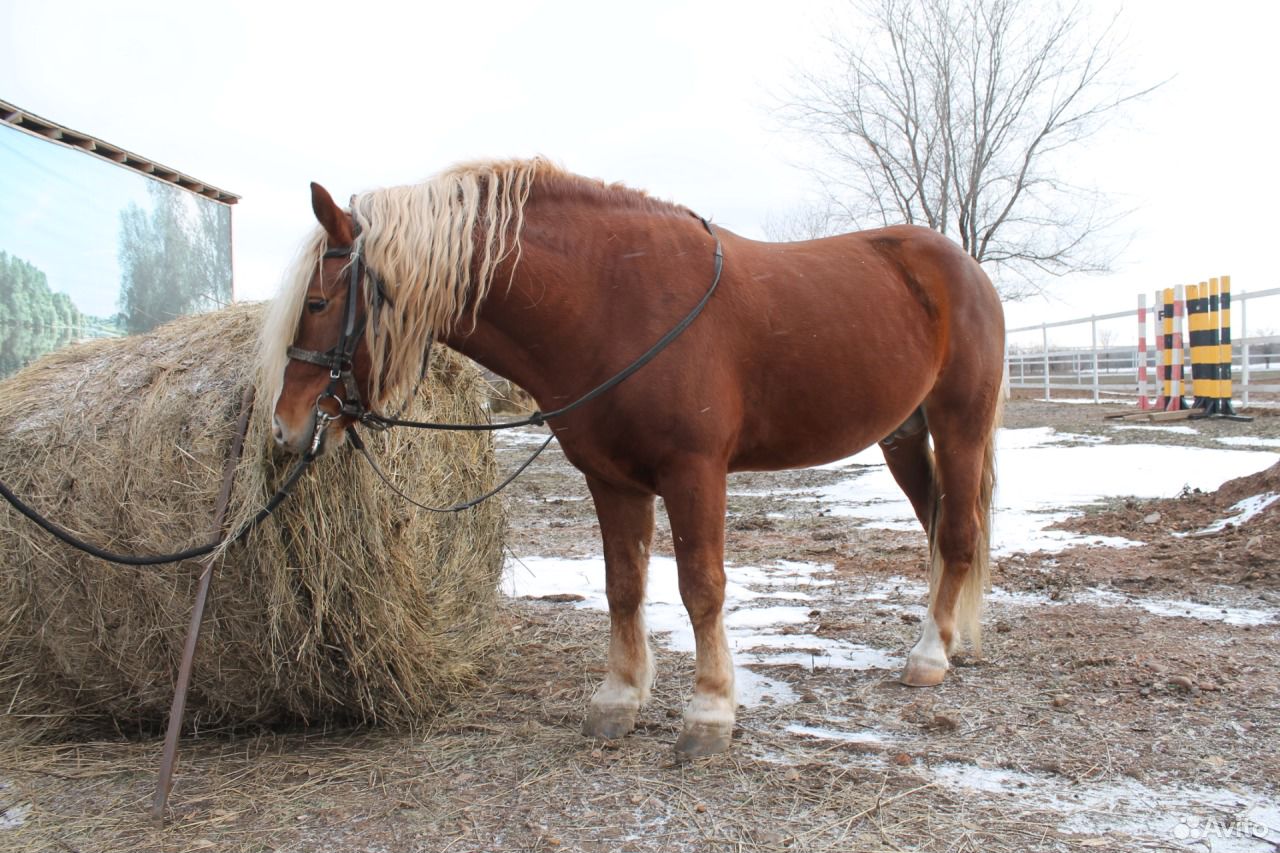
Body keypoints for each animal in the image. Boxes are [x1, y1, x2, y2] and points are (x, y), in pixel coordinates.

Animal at [264, 156, 1003, 753]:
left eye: (318, 302)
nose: (286, 428)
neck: (616, 298)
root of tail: (963, 268)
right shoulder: (611, 479)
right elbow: (624, 585)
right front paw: (619, 699)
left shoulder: (694, 473)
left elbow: (702, 587)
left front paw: (709, 712)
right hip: (903, 436)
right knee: (936, 526)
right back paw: (943, 641)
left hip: (958, 426)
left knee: (957, 534)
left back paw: (930, 656)